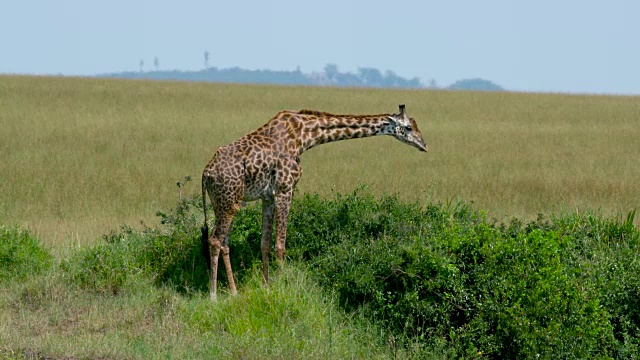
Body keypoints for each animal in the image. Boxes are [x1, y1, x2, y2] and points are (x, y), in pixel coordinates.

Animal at [202, 103, 428, 298]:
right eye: (408, 127)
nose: (424, 145)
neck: (305, 136)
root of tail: (206, 174)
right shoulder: (285, 189)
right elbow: (280, 245)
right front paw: (282, 288)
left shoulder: (268, 196)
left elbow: (264, 243)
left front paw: (267, 288)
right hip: (229, 200)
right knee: (214, 240)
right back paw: (213, 296)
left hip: (226, 202)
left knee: (224, 243)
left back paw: (233, 292)